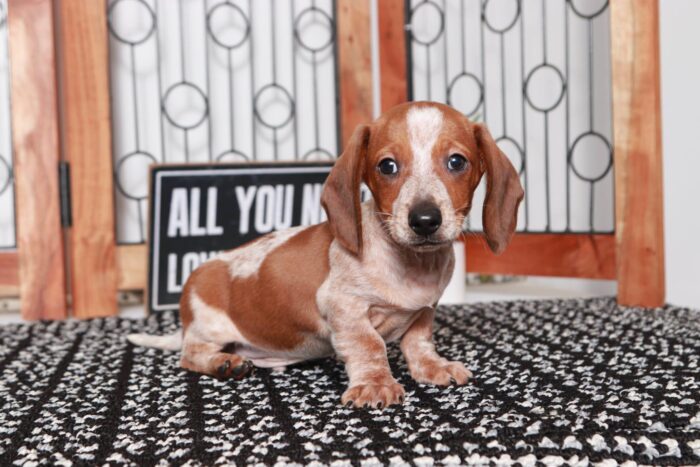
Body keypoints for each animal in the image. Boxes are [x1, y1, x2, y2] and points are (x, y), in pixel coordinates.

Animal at [129, 101, 524, 410]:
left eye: (457, 161)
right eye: (387, 166)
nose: (425, 221)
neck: (411, 264)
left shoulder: (425, 310)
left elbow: (419, 340)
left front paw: (432, 366)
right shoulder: (344, 307)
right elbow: (369, 345)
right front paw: (375, 384)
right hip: (209, 325)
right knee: (189, 354)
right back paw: (222, 363)